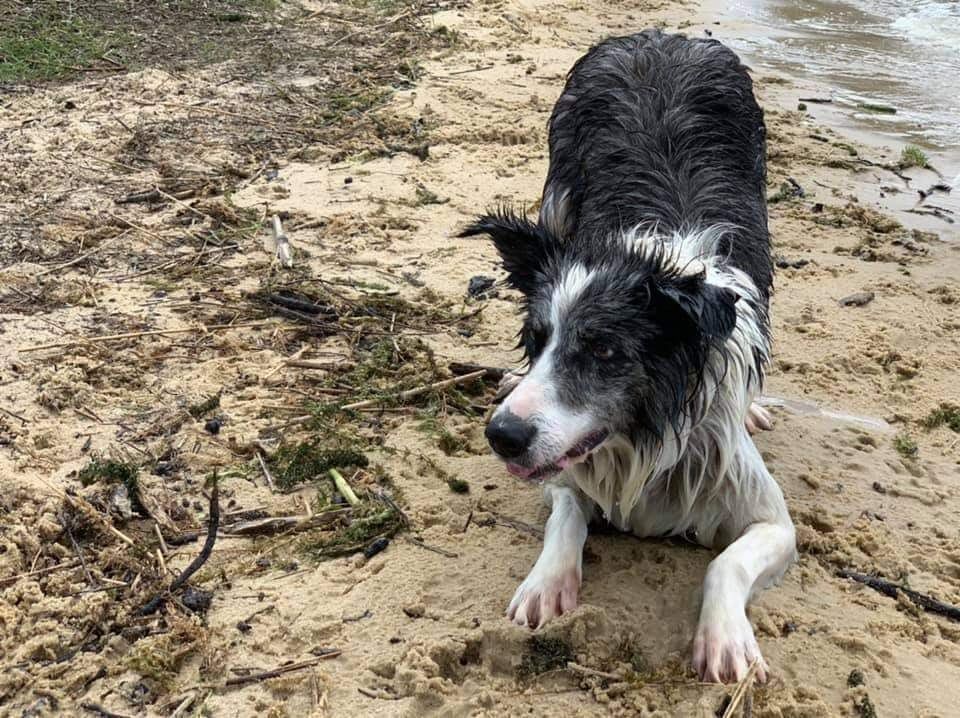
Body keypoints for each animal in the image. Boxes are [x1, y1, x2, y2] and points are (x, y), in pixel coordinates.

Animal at [464, 31, 796, 688]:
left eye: (603, 350)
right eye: (536, 340)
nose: (501, 435)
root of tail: (662, 37)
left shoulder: (768, 514)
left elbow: (727, 561)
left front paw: (725, 638)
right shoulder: (564, 475)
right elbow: (565, 514)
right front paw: (547, 582)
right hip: (558, 195)